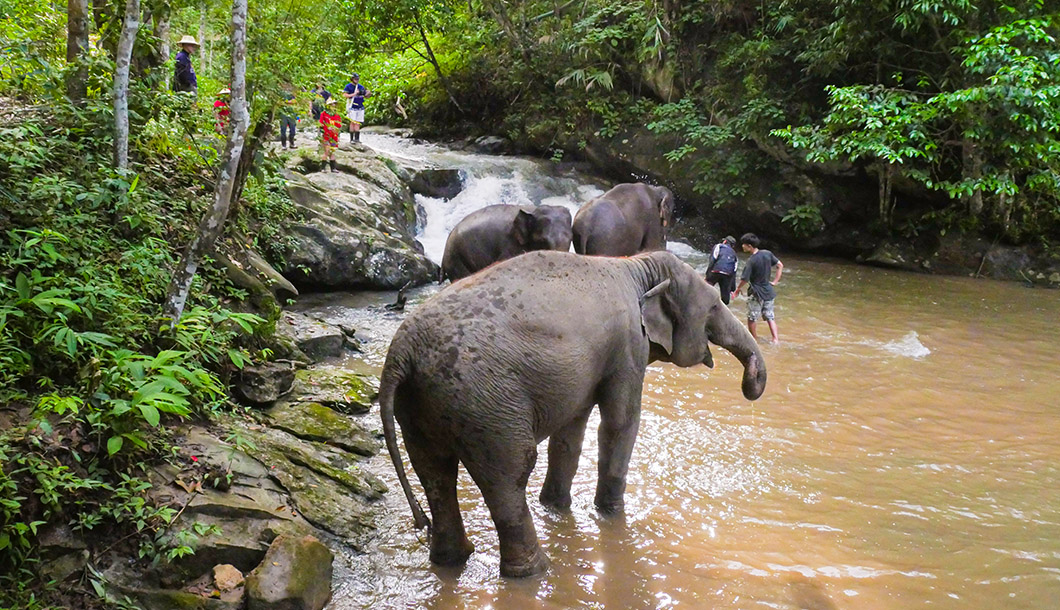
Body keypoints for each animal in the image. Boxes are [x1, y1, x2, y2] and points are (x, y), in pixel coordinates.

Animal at [380, 249, 767, 578]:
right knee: (509, 473)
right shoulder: (629, 346)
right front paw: (612, 516)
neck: (638, 266)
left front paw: (557, 507)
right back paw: (533, 572)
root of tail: (401, 353)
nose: (750, 386)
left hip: (421, 408)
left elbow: (570, 432)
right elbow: (620, 423)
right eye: (714, 305)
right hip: (483, 402)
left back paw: (451, 560)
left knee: (435, 472)